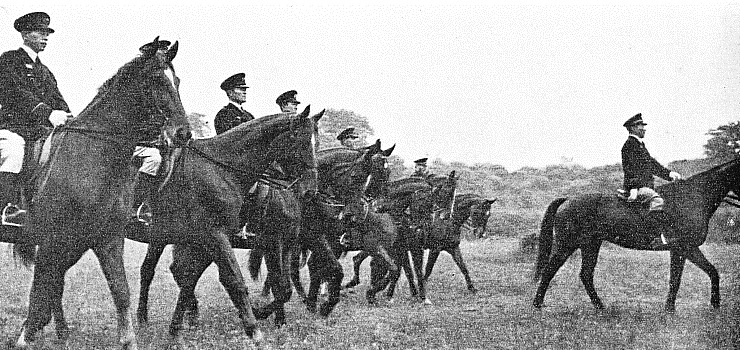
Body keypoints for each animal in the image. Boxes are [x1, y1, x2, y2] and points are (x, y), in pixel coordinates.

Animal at [11, 39, 189, 350]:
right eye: (156, 80)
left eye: (176, 81)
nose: (183, 133)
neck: (92, 157)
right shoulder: (52, 239)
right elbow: (40, 291)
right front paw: (25, 336)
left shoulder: (106, 238)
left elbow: (120, 290)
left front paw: (128, 340)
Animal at [128, 106, 324, 344]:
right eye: (298, 138)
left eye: (316, 141)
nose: (310, 190)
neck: (222, 172)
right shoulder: (223, 236)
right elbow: (235, 279)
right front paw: (255, 323)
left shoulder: (281, 243)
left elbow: (282, 287)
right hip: (160, 235)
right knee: (149, 271)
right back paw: (143, 318)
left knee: (169, 271)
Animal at [532, 157, 740, 310]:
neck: (692, 197)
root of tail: (568, 199)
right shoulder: (685, 248)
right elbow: (694, 275)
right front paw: (708, 305)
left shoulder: (681, 250)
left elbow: (689, 276)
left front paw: (673, 308)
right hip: (567, 245)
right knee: (550, 270)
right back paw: (537, 304)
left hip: (590, 245)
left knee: (585, 275)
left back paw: (600, 307)